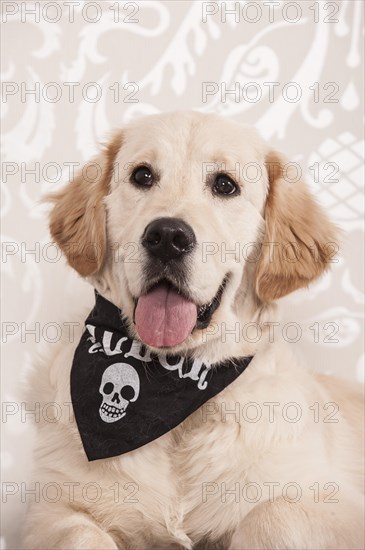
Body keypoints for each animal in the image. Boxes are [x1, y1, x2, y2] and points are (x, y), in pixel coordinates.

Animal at [24, 112, 362, 550]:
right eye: (142, 175)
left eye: (225, 185)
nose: (167, 236)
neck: (176, 386)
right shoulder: (50, 507)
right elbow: (79, 534)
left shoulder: (335, 503)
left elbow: (270, 514)